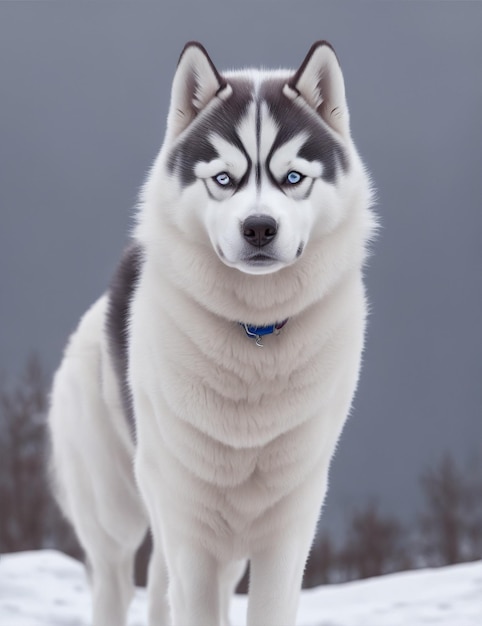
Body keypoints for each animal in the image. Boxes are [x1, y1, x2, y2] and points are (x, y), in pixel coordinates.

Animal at [46, 40, 376, 624]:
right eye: (224, 178)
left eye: (293, 177)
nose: (259, 227)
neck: (256, 333)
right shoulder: (190, 530)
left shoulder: (286, 530)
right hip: (117, 515)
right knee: (114, 581)